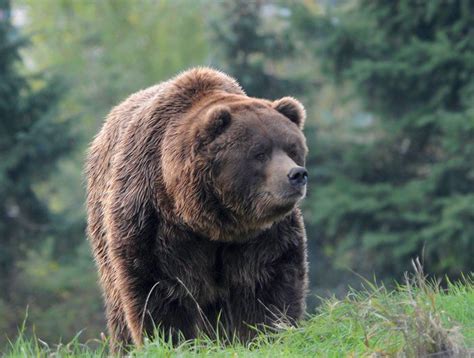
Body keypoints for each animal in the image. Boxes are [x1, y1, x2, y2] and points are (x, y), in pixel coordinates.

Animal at [84, 67, 308, 350]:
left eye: (292, 148)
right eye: (260, 153)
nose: (296, 175)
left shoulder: (261, 235)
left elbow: (268, 277)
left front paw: (267, 332)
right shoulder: (153, 221)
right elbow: (158, 287)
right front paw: (169, 339)